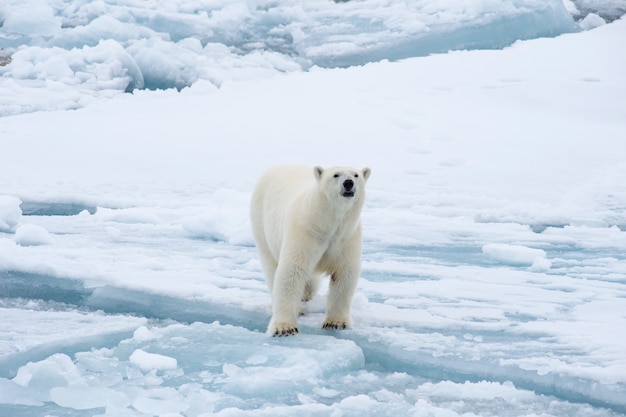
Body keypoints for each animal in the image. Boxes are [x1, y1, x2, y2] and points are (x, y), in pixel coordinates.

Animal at [249, 165, 368, 334]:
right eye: (335, 175)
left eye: (356, 175)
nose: (348, 183)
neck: (329, 224)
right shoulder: (306, 231)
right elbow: (292, 270)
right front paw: (284, 327)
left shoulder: (346, 236)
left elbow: (344, 273)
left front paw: (336, 322)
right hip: (261, 224)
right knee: (271, 266)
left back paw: (306, 294)